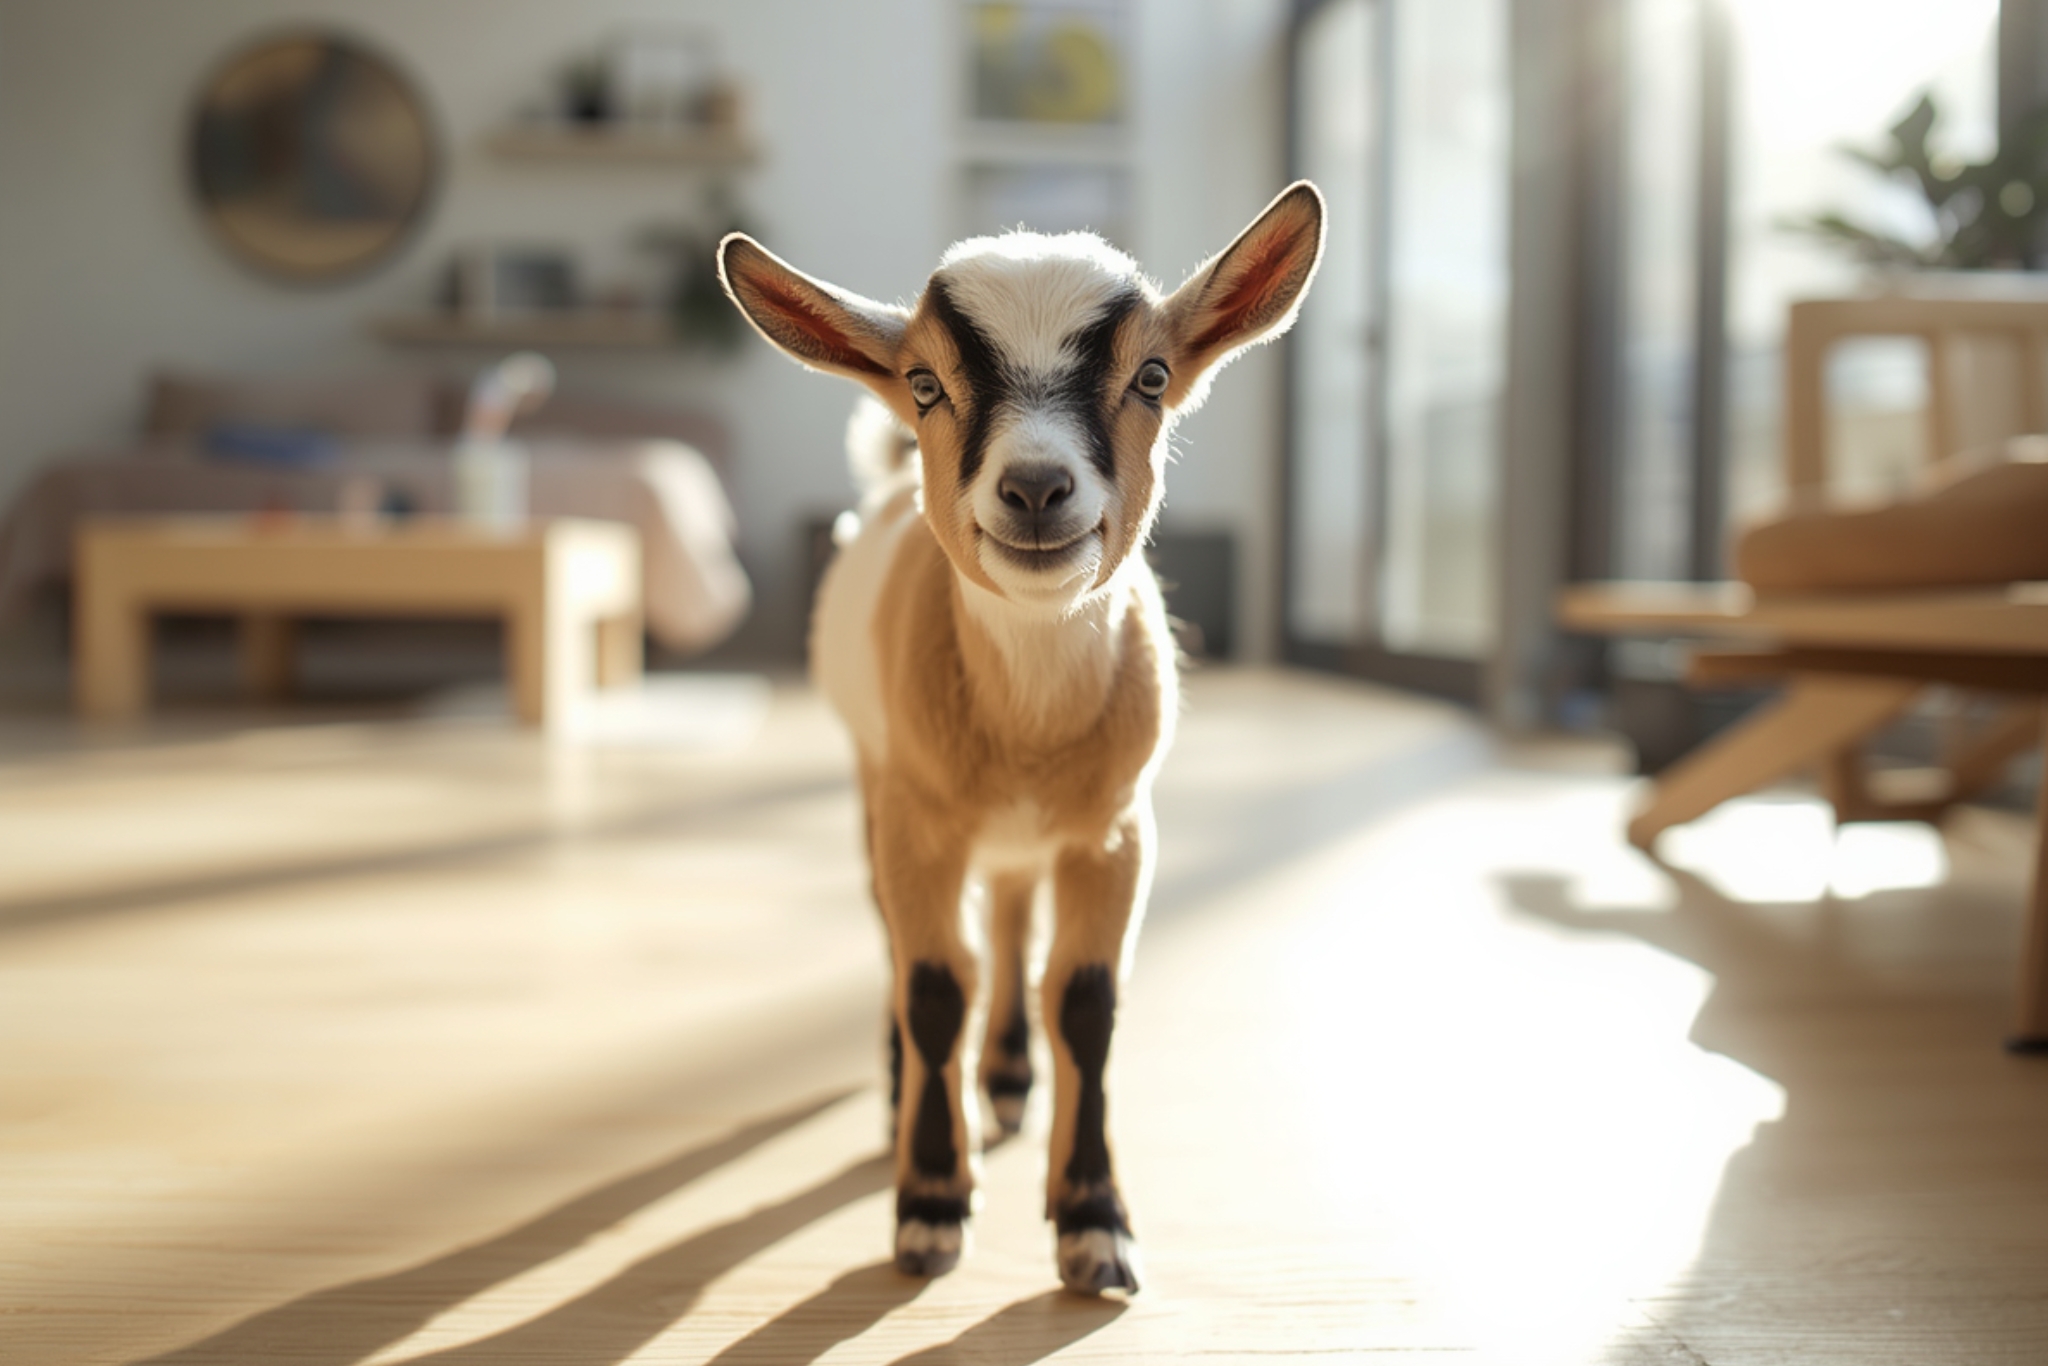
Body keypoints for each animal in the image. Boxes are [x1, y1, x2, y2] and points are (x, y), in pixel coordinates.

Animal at [717, 182, 1324, 1295]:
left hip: (1017, 836)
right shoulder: (917, 820)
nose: (1036, 488)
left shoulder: (1112, 832)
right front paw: (928, 1204)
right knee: (904, 939)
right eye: (923, 381)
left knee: (1006, 919)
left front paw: (1092, 1224)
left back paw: (1004, 1077)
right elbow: (930, 989)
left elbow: (1083, 1000)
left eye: (1152, 374)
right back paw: (903, 1094)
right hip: (875, 787)